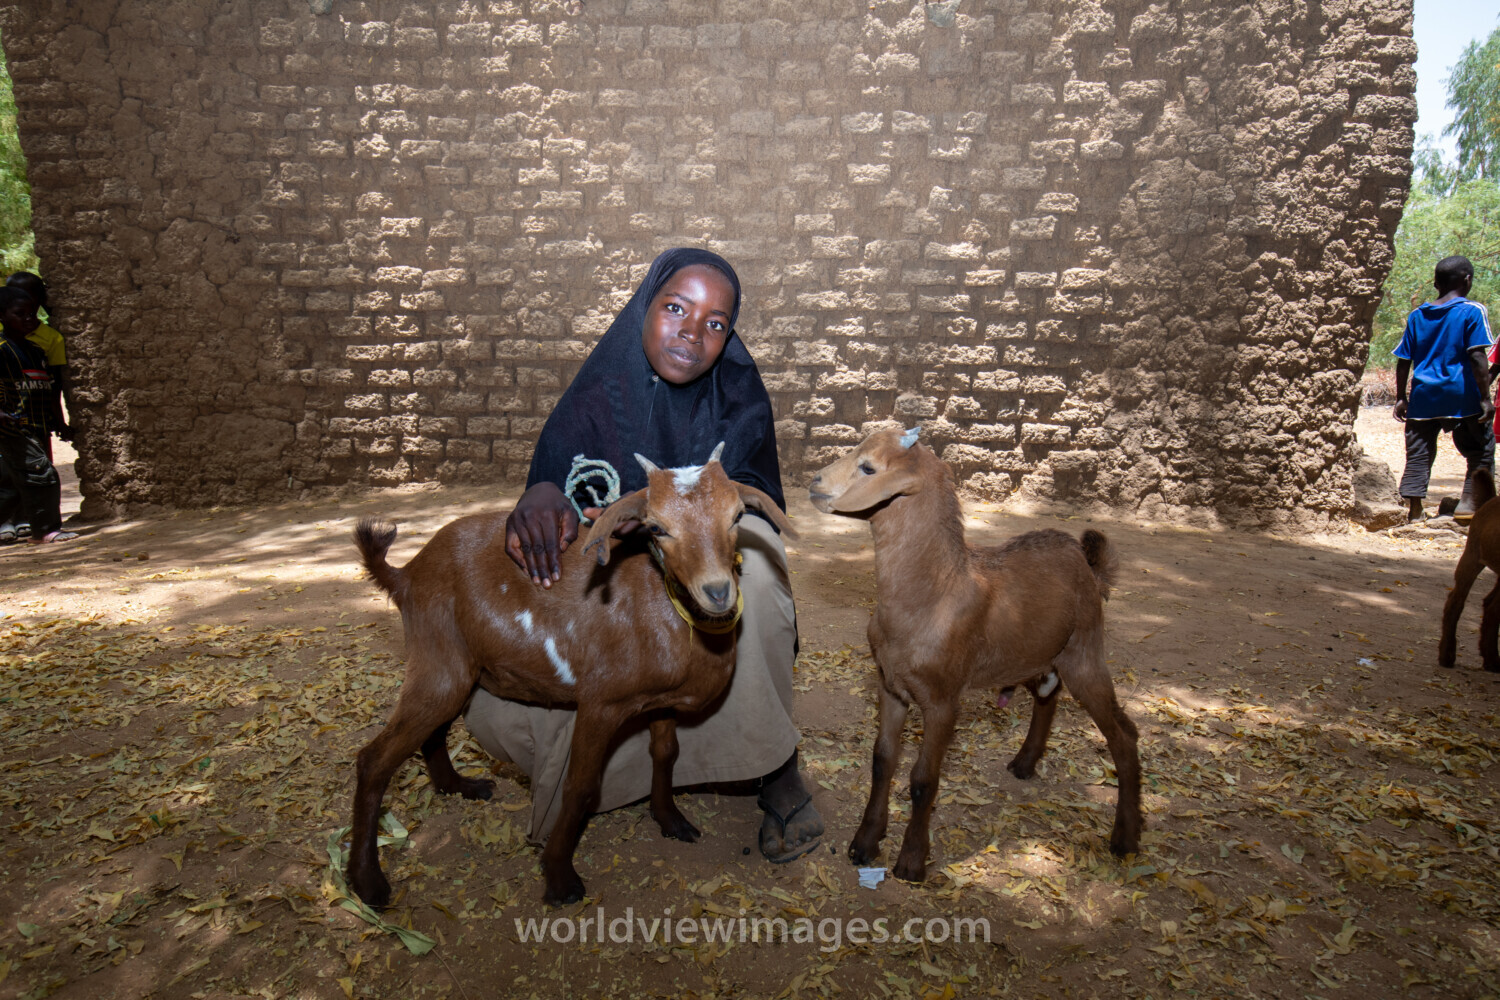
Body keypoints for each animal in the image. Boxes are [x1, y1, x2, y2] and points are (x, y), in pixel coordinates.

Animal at [349, 443, 794, 906]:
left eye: (737, 516)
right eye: (656, 527)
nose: (718, 592)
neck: (661, 607)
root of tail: (405, 575)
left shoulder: (660, 703)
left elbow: (666, 753)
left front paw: (671, 820)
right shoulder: (601, 702)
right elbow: (580, 786)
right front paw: (560, 876)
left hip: (457, 671)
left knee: (431, 731)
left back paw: (460, 787)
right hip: (437, 661)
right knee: (374, 759)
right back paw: (368, 881)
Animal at [808, 427, 1142, 882]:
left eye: (869, 467)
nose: (815, 482)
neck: (934, 592)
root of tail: (1087, 563)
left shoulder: (943, 699)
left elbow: (923, 779)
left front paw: (911, 861)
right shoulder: (890, 686)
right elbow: (882, 761)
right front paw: (864, 843)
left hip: (1085, 652)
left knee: (1124, 735)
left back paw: (1125, 838)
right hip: (1036, 653)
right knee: (1048, 695)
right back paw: (1025, 763)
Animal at [1439, 468, 1500, 671]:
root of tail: (1491, 500)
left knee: (1490, 605)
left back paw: (1490, 658)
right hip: (1472, 555)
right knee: (1455, 601)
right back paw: (1447, 655)